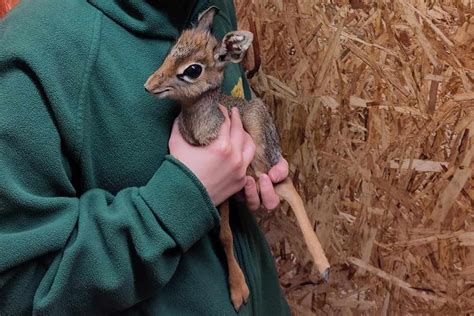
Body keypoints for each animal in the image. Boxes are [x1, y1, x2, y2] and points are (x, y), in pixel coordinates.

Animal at [144, 6, 330, 310]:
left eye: (193, 69)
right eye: (172, 51)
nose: (149, 85)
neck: (200, 128)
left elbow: (227, 233)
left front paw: (238, 289)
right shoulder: (218, 189)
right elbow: (224, 234)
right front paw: (239, 287)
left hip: (263, 159)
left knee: (289, 187)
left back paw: (324, 267)